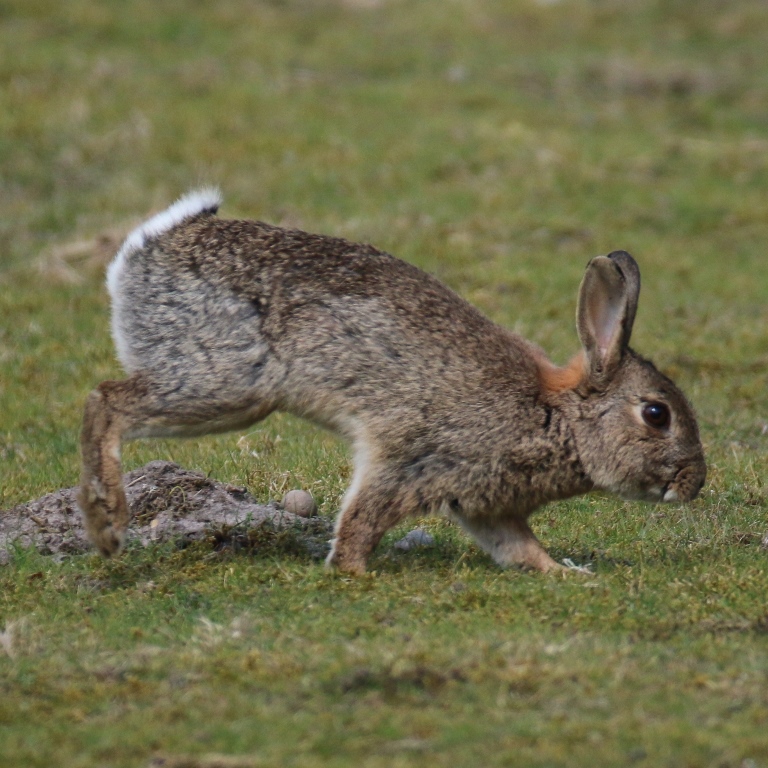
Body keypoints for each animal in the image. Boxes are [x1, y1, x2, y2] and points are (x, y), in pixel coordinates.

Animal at [78, 188, 706, 575]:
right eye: (657, 414)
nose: (694, 484)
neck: (558, 416)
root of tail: (148, 250)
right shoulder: (409, 458)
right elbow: (364, 516)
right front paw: (352, 572)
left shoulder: (485, 502)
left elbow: (519, 547)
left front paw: (566, 573)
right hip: (225, 382)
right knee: (105, 401)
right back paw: (106, 523)